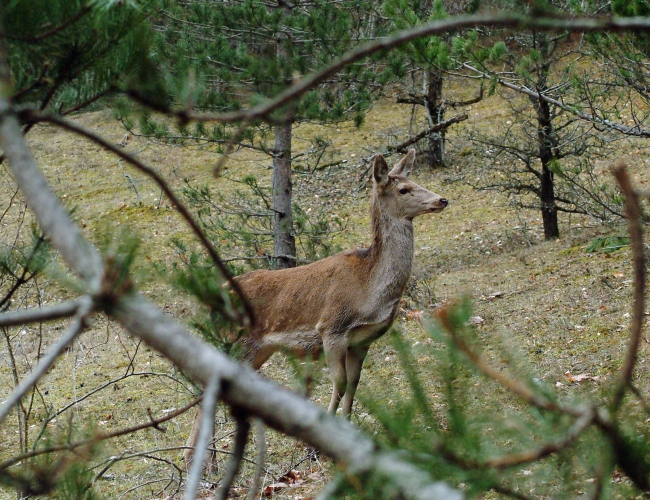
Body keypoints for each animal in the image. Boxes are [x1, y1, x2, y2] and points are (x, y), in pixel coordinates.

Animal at [182, 148, 446, 464]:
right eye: (404, 189)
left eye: (415, 181)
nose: (442, 199)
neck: (369, 289)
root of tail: (212, 297)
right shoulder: (332, 328)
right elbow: (340, 382)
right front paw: (319, 444)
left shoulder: (362, 340)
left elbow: (354, 384)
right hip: (237, 341)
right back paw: (198, 461)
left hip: (257, 350)